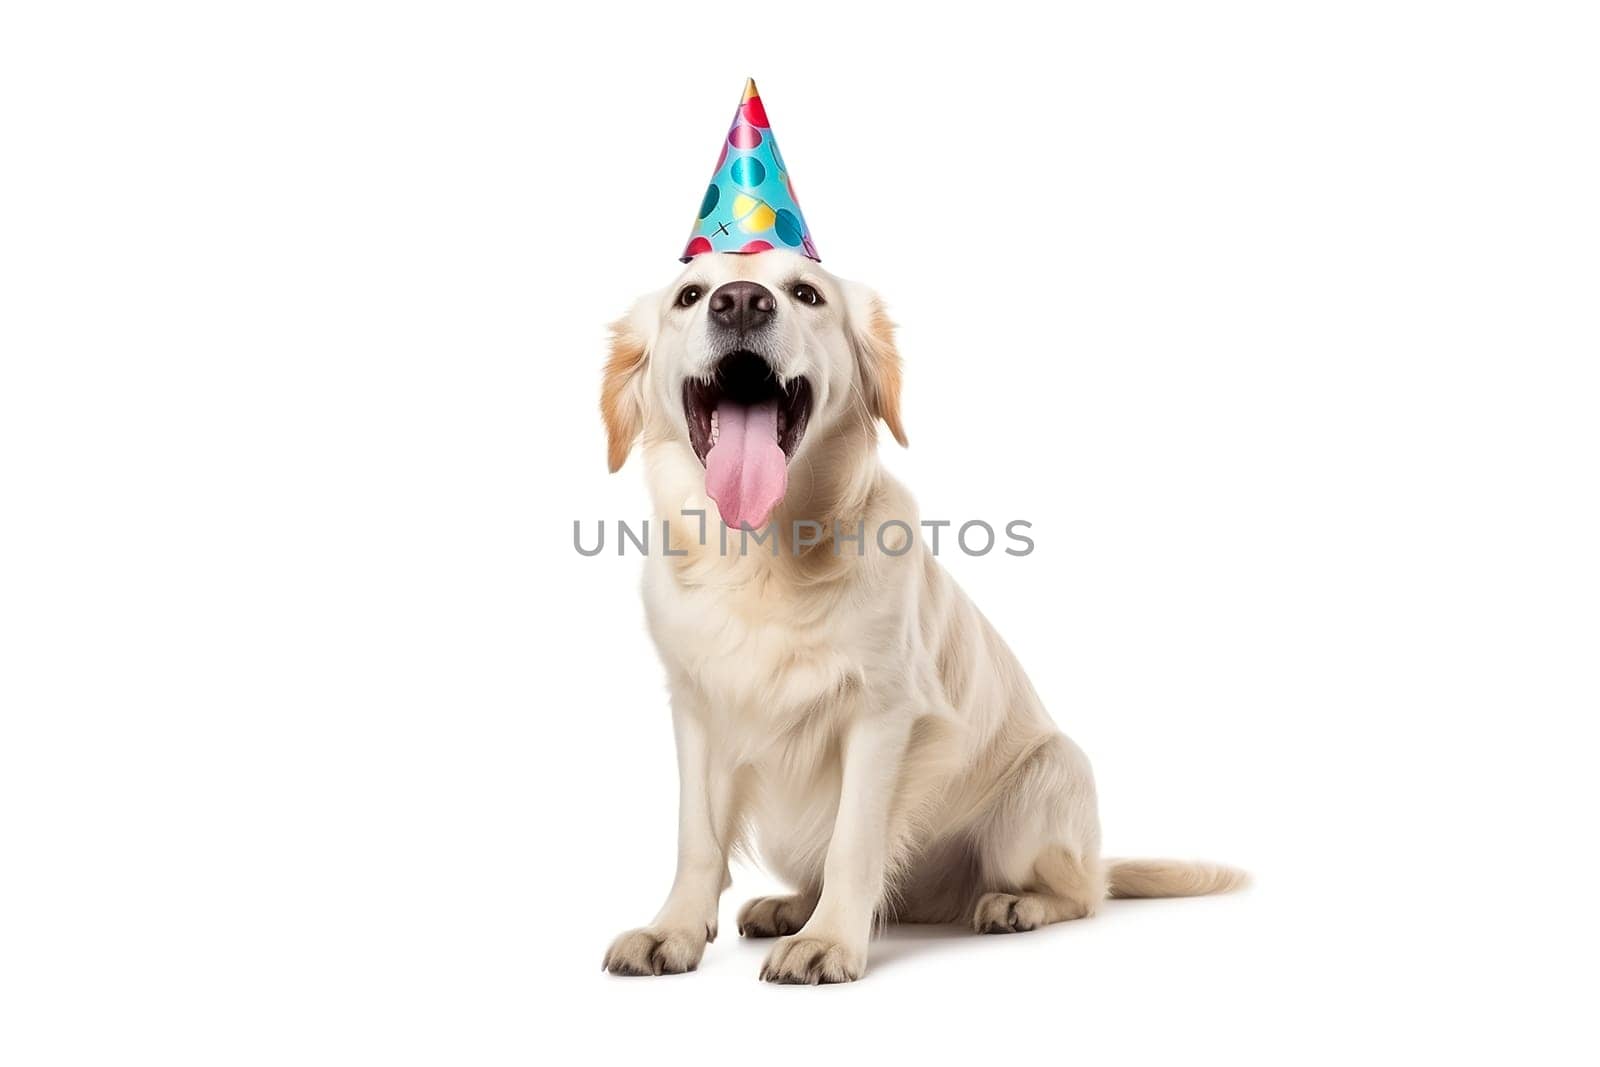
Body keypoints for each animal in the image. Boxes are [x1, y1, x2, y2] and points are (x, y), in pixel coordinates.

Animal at [601, 251, 1248, 985]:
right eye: (690, 295)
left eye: (806, 293)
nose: (741, 301)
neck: (763, 556)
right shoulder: (696, 708)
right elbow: (698, 839)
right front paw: (673, 931)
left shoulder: (883, 713)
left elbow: (854, 842)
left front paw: (830, 941)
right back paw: (791, 906)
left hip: (1049, 777)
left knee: (1083, 892)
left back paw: (1014, 904)